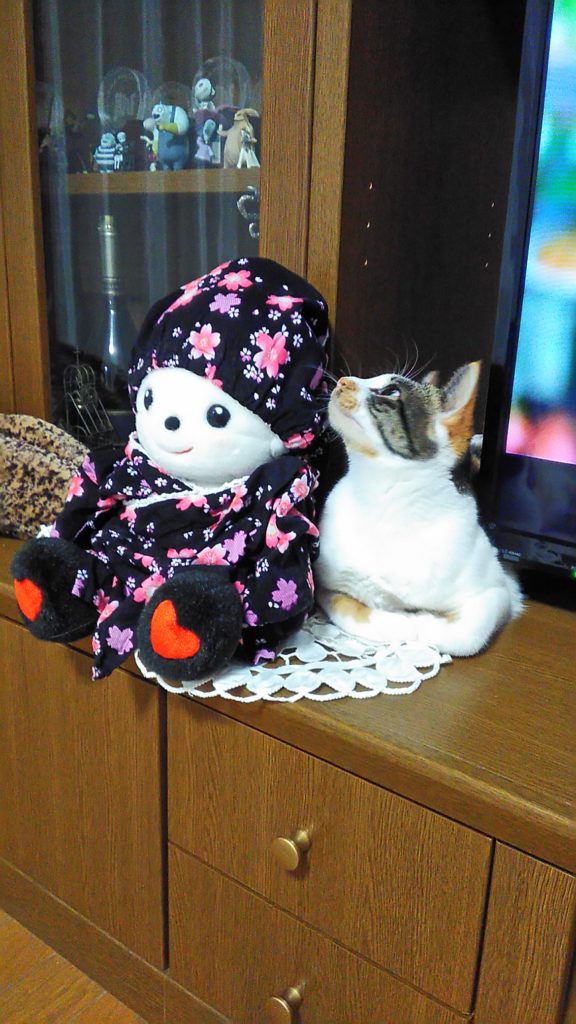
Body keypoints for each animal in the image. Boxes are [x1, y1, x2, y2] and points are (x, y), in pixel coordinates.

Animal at [315, 361, 523, 655]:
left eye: (391, 391)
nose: (342, 380)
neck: (385, 501)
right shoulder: (325, 584)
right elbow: (348, 609)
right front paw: (398, 622)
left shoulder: (498, 589)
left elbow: (468, 634)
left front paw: (425, 622)